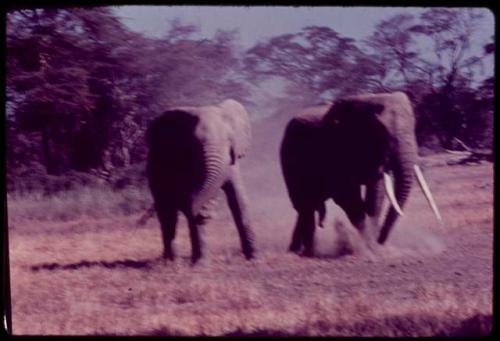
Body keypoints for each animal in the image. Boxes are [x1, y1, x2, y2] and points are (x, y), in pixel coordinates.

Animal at [145, 98, 254, 262]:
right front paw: (201, 264)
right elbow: (191, 199)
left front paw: (255, 258)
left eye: (229, 140)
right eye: (194, 143)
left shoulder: (231, 162)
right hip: (154, 172)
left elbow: (239, 200)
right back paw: (171, 261)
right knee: (167, 212)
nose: (206, 212)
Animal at [282, 91, 442, 256]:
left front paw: (373, 245)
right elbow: (347, 197)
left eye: (414, 125)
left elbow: (375, 195)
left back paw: (298, 250)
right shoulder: (334, 147)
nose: (380, 241)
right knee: (304, 205)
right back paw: (307, 252)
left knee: (307, 206)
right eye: (382, 131)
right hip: (289, 159)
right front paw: (369, 248)